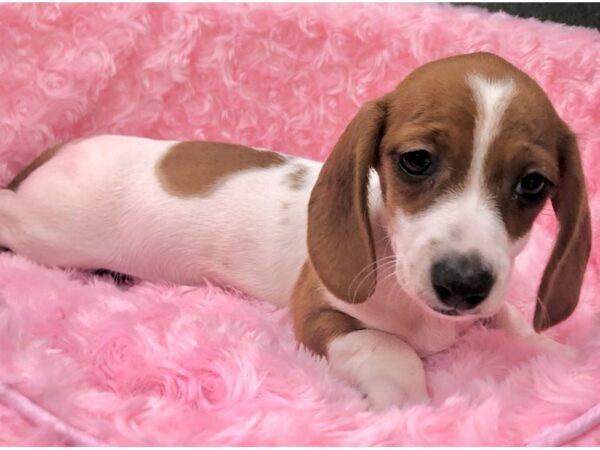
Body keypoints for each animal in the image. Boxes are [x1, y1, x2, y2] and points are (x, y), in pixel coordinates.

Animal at [0, 51, 592, 408]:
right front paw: (410, 404)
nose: (463, 284)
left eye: (533, 185)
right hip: (47, 230)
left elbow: (510, 318)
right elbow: (386, 346)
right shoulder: (316, 314)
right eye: (417, 160)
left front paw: (555, 353)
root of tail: (63, 150)